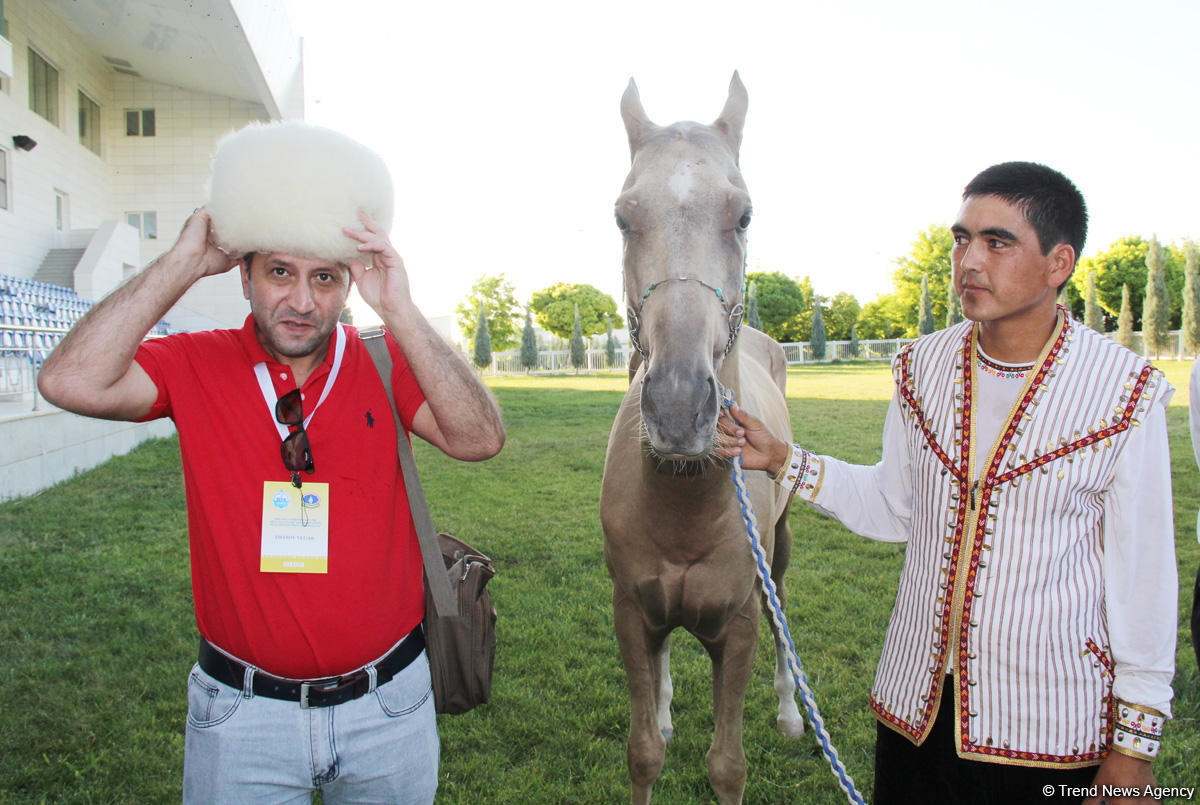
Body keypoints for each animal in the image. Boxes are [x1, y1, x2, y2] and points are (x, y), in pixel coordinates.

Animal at [600, 75, 806, 805]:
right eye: (622, 216)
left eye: (743, 215)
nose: (680, 407)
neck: (685, 509)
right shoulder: (631, 615)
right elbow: (643, 752)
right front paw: (655, 722)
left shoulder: (738, 625)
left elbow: (727, 764)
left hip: (779, 548)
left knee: (783, 614)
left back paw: (790, 712)